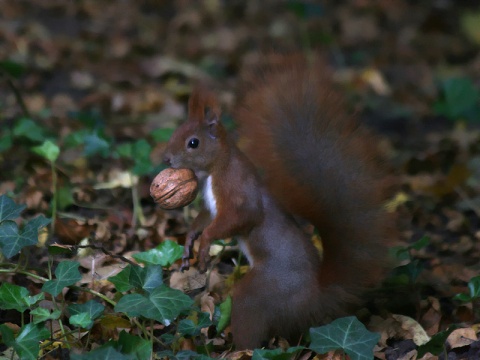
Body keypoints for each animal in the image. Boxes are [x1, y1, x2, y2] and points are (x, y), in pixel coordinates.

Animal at [163, 55, 392, 348]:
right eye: (176, 132)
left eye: (193, 143)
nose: (167, 159)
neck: (215, 169)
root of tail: (314, 299)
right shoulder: (210, 206)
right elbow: (204, 219)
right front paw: (190, 240)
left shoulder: (237, 189)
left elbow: (241, 217)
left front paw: (204, 245)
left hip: (263, 293)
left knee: (250, 320)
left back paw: (238, 348)